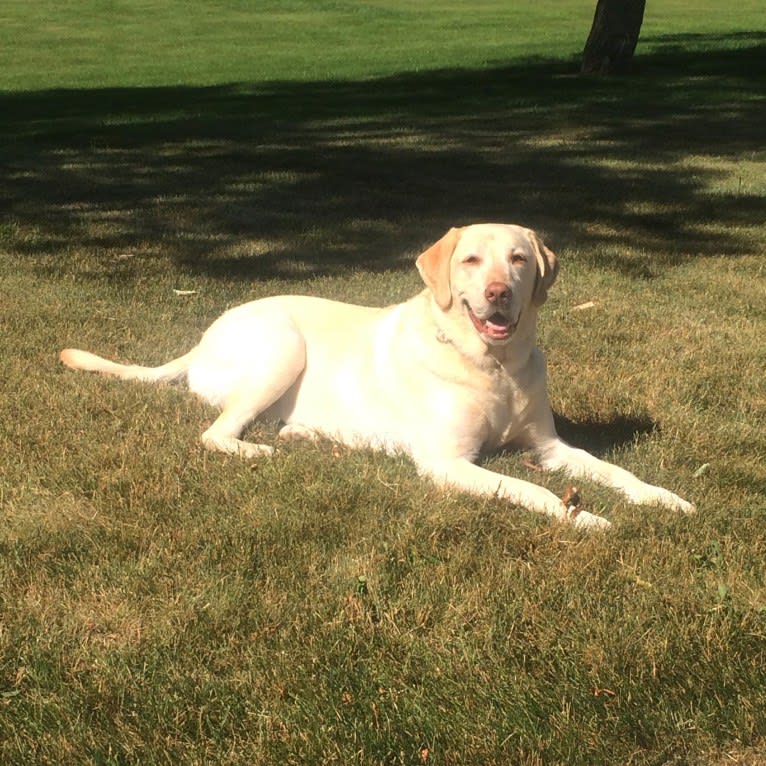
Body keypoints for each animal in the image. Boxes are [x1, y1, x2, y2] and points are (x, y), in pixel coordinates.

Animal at [60, 225, 696, 532]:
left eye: (518, 259)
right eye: (470, 261)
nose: (499, 293)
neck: (495, 366)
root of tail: (201, 339)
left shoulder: (548, 447)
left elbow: (614, 470)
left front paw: (662, 499)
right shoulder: (447, 463)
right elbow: (530, 489)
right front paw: (586, 519)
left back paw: (304, 433)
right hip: (283, 345)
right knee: (217, 432)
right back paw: (257, 451)